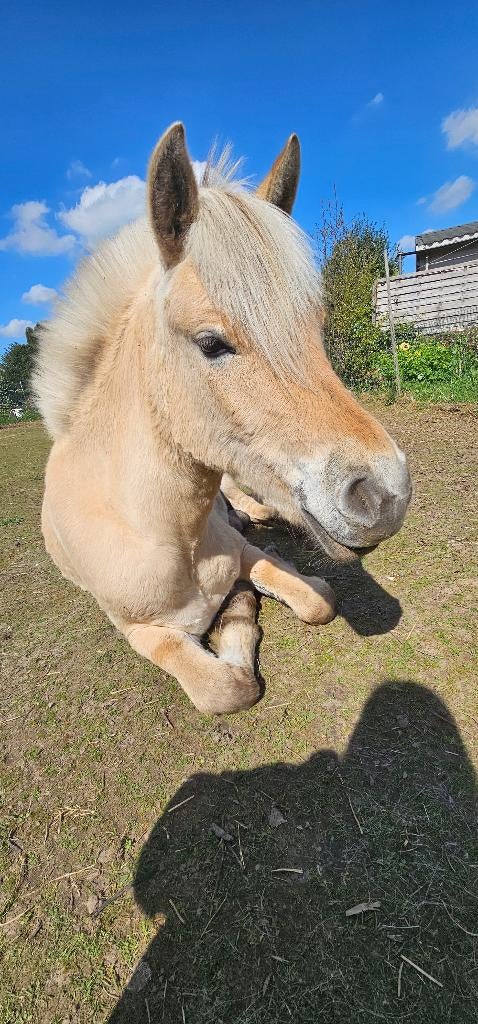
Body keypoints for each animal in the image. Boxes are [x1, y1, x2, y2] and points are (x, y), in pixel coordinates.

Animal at [33, 123, 411, 715]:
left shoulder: (246, 553)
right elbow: (224, 688)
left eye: (317, 325)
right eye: (212, 343)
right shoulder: (136, 629)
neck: (167, 537)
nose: (385, 496)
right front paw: (235, 614)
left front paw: (238, 604)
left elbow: (317, 599)